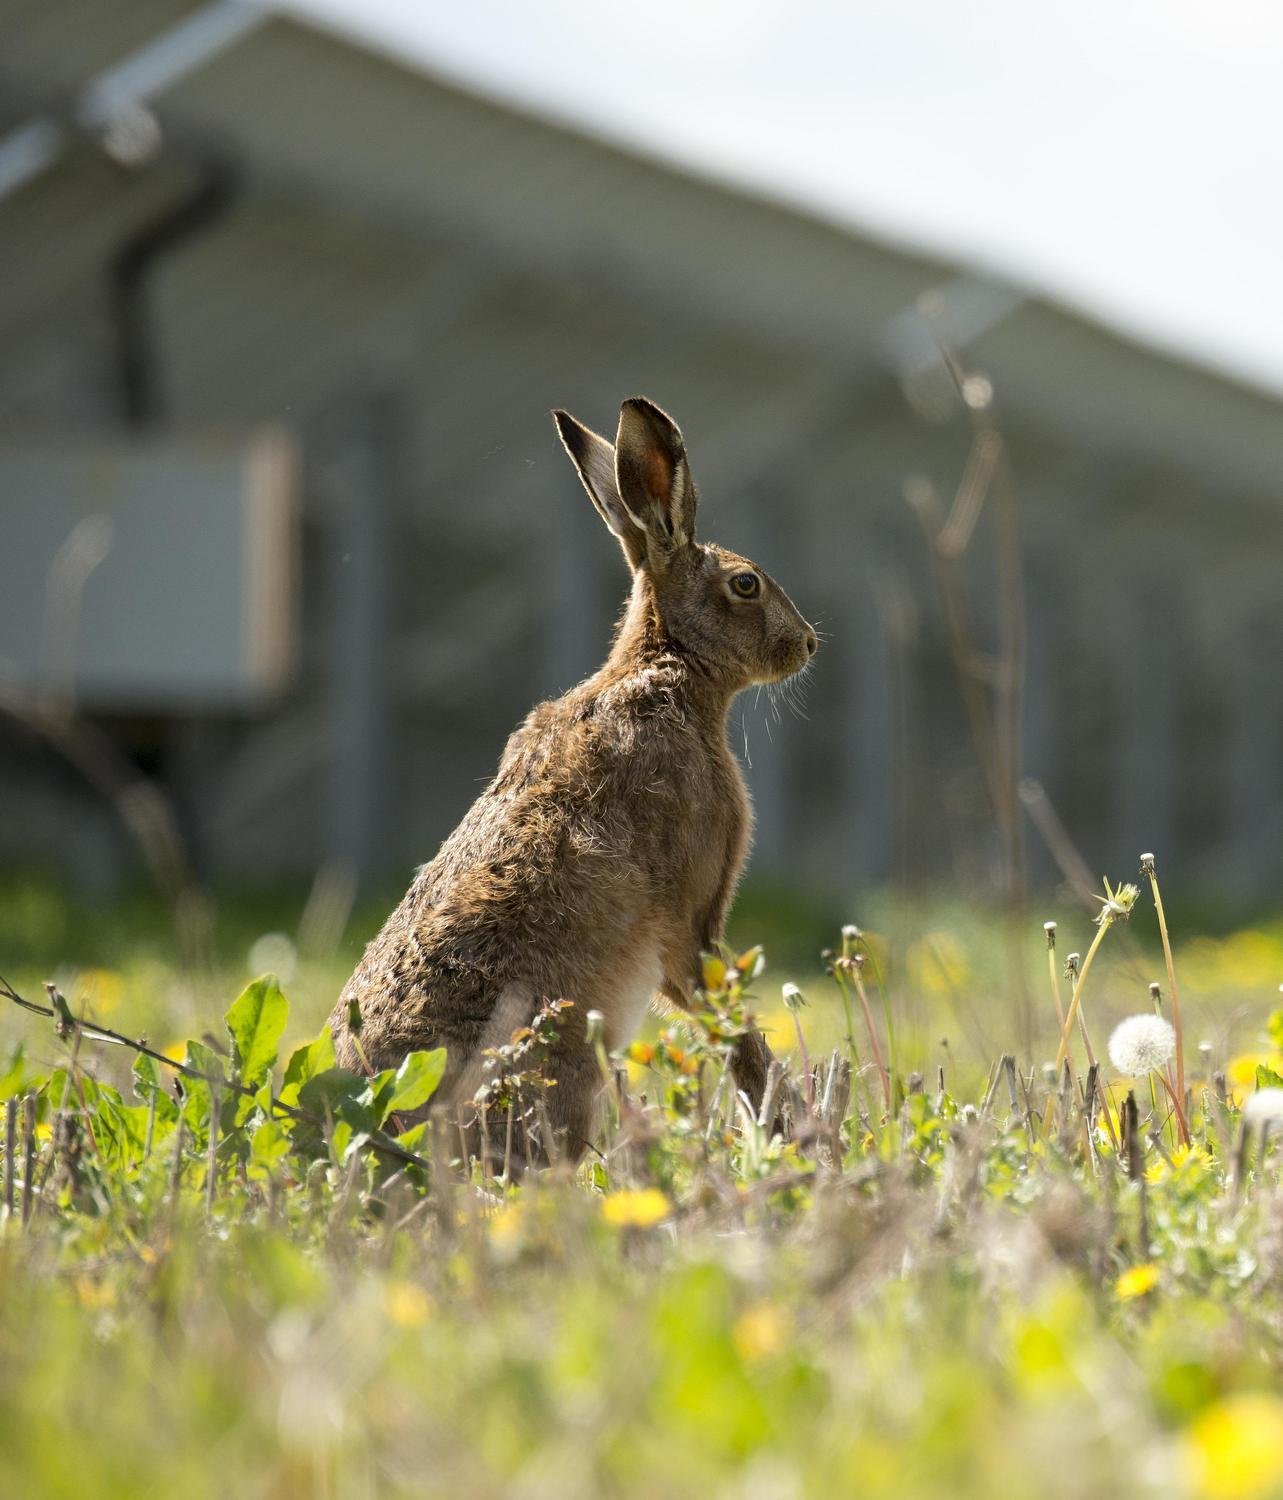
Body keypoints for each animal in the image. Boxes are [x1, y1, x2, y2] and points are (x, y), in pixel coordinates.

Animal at [328, 396, 817, 1162]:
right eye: (746, 584)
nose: (808, 645)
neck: (670, 664)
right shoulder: (692, 921)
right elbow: (724, 1021)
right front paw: (782, 1128)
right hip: (559, 1054)